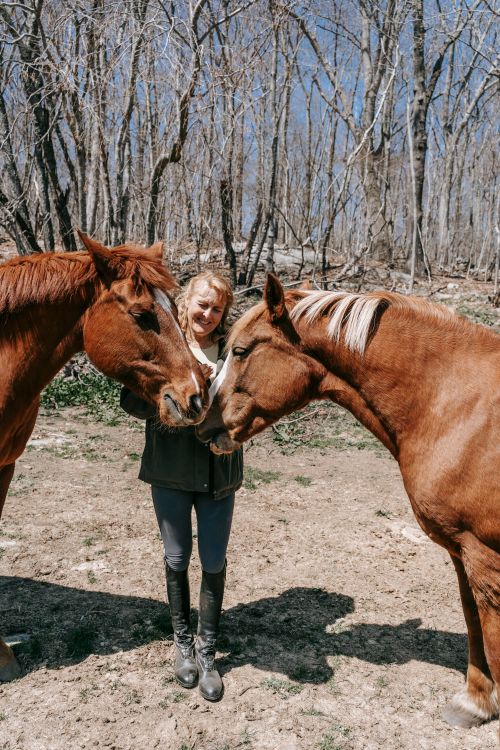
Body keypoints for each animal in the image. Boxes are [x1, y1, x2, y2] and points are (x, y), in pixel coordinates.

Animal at [198, 273, 500, 739]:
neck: (453, 403)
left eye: (242, 350)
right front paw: (476, 703)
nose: (202, 425)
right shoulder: (462, 552)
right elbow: (474, 625)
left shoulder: (484, 557)